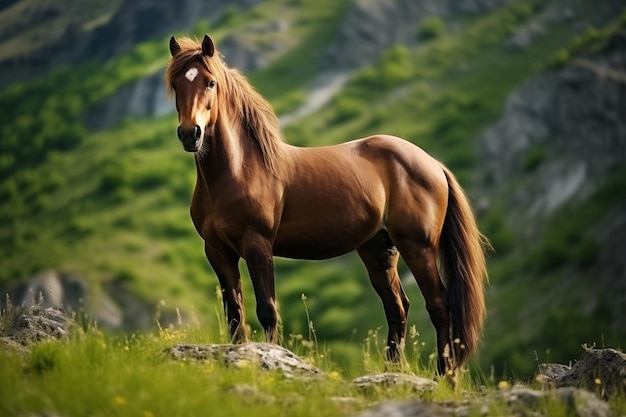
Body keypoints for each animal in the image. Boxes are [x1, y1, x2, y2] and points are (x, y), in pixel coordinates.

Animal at [166, 35, 488, 374]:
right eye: (176, 83)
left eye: (211, 82)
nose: (190, 134)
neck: (238, 170)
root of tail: (434, 164)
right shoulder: (218, 252)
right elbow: (234, 314)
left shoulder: (257, 245)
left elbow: (267, 310)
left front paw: (270, 357)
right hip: (379, 250)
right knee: (397, 307)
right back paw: (394, 371)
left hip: (418, 246)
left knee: (439, 305)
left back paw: (445, 376)